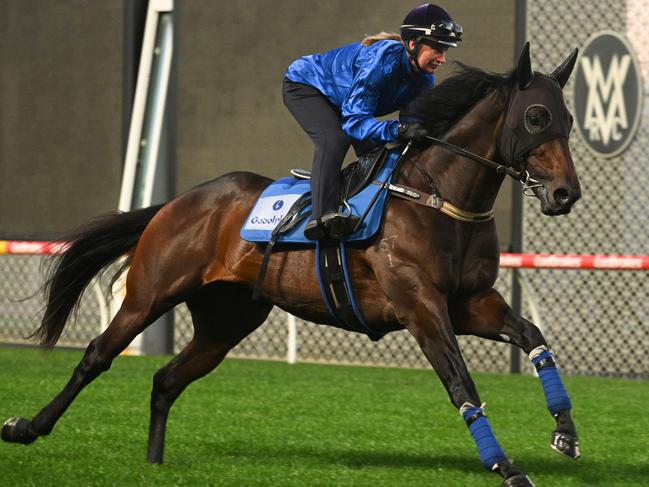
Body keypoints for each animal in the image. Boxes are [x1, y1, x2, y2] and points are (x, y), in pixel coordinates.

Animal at [1, 43, 584, 487]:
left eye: (569, 119)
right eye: (535, 117)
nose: (565, 194)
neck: (435, 196)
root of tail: (179, 201)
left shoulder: (469, 303)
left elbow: (534, 338)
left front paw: (566, 431)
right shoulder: (420, 305)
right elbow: (462, 385)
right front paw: (505, 467)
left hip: (227, 319)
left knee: (166, 379)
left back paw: (154, 464)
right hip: (151, 293)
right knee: (96, 356)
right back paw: (27, 427)